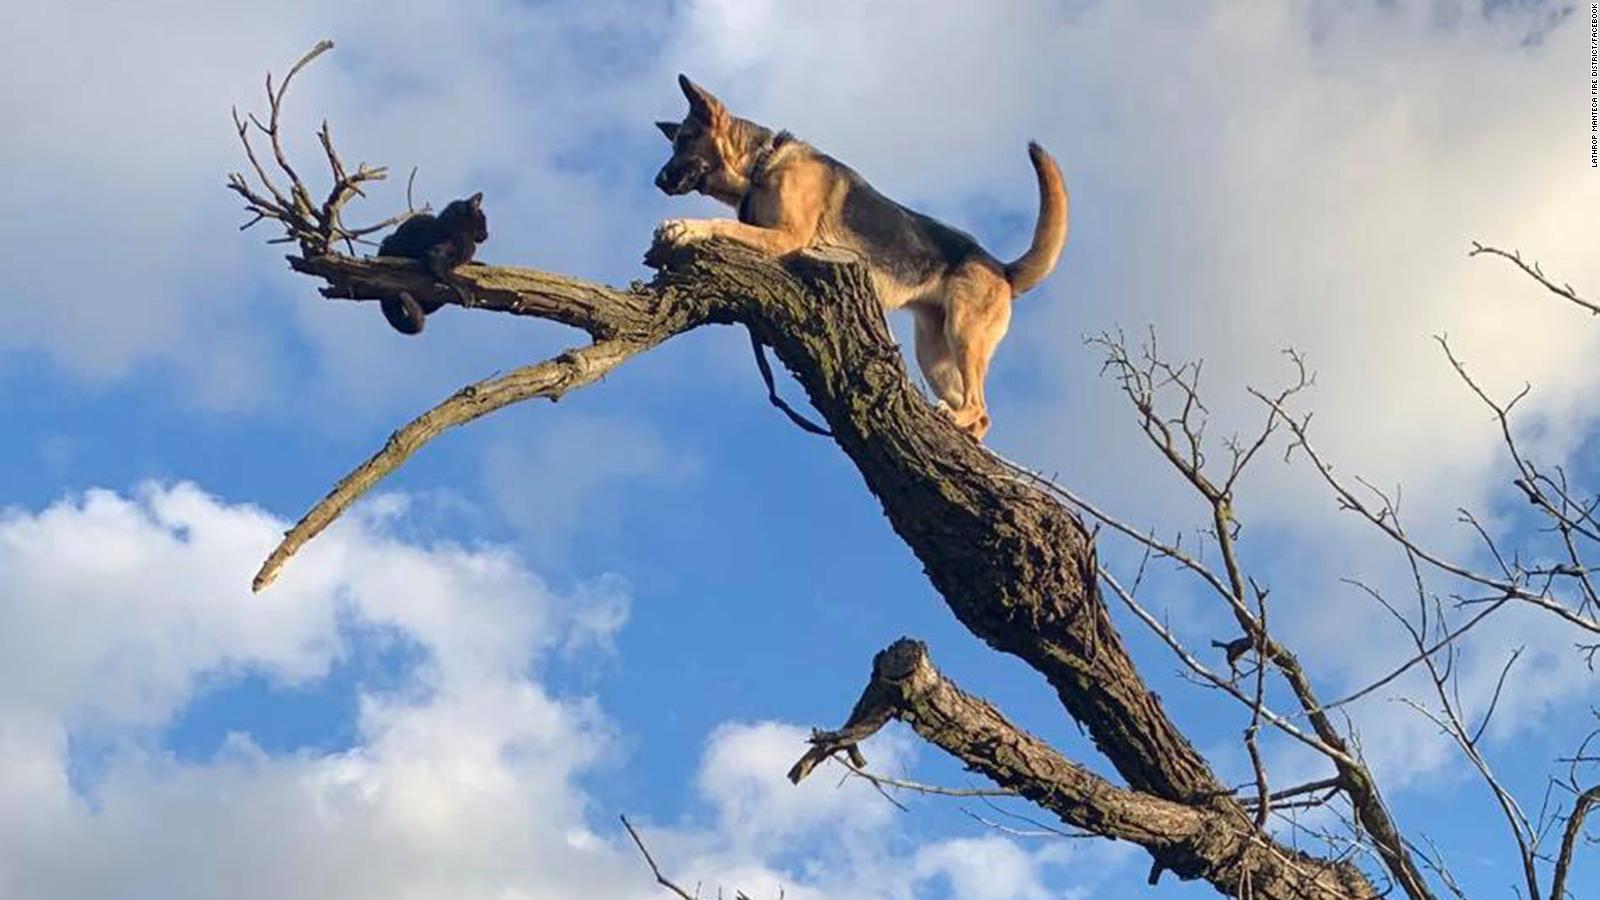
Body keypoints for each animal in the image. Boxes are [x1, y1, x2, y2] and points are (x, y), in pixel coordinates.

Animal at [374, 193, 486, 336]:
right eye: (484, 220)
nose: (487, 234)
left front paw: (479, 263)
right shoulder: (437, 255)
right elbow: (446, 272)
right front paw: (464, 290)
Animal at [656, 75, 1068, 438]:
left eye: (686, 140)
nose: (658, 181)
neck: (762, 162)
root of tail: (1002, 269)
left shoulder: (786, 238)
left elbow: (722, 224)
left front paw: (684, 227)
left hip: (963, 333)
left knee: (980, 408)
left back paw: (958, 419)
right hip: (933, 354)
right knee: (980, 416)